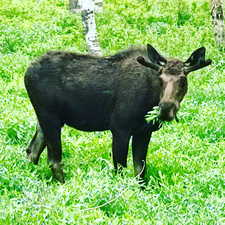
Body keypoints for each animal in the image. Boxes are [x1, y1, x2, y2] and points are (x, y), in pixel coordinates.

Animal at [24, 44, 211, 183]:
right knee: (54, 160)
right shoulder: (120, 129)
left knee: (32, 151)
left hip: (46, 120)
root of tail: (26, 72)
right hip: (50, 118)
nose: (165, 109)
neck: (150, 98)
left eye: (183, 80)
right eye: (160, 78)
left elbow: (140, 171)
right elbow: (120, 169)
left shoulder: (144, 132)